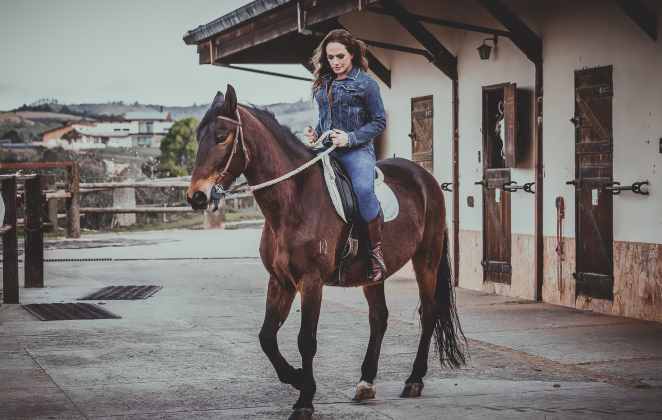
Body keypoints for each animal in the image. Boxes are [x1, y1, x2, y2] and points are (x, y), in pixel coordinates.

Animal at [187, 84, 466, 416]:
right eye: (199, 136)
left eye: (221, 136)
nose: (196, 196)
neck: (294, 200)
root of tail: (426, 179)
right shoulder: (280, 281)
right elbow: (266, 337)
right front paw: (296, 378)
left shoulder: (311, 282)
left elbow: (306, 340)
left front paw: (305, 399)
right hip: (373, 275)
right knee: (379, 317)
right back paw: (365, 383)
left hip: (427, 258)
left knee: (429, 312)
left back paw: (413, 380)